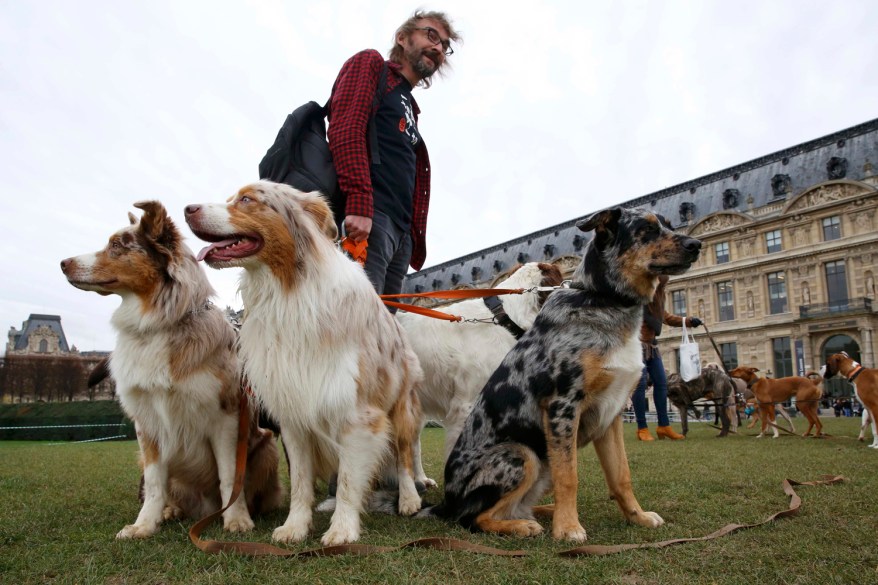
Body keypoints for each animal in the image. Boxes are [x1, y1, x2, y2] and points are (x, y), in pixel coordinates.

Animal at [61, 201, 282, 540]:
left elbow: (229, 475)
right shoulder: (147, 423)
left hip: (267, 447)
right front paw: (144, 525)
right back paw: (170, 510)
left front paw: (236, 519)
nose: (63, 263)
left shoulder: (225, 416)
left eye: (116, 245)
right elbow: (155, 483)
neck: (158, 324)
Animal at [184, 181, 424, 544]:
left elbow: (350, 480)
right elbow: (299, 480)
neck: (287, 291)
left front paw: (342, 530)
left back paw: (409, 499)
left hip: (401, 408)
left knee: (404, 455)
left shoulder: (358, 412)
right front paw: (295, 527)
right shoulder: (293, 412)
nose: (187, 209)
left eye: (247, 199)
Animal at [422, 208, 704, 540]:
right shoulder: (563, 406)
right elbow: (569, 476)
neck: (604, 301)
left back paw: (540, 513)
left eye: (669, 225)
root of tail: (446, 503)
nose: (696, 244)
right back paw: (523, 525)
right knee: (473, 518)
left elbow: (621, 475)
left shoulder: (611, 414)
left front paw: (638, 516)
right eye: (646, 229)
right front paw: (569, 528)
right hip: (523, 454)